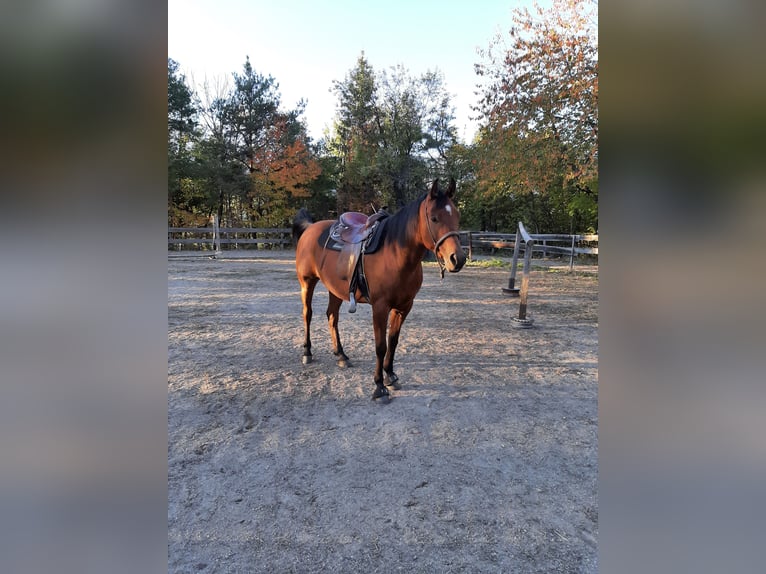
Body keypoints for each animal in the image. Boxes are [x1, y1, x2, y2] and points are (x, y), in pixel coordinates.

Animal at [293, 178, 467, 403]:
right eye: (434, 218)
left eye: (457, 216)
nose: (457, 259)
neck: (395, 253)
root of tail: (310, 228)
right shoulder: (380, 307)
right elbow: (380, 346)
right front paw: (379, 386)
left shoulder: (404, 306)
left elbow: (393, 341)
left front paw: (391, 375)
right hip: (307, 282)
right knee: (308, 314)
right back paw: (307, 352)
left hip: (335, 289)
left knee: (332, 316)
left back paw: (341, 355)